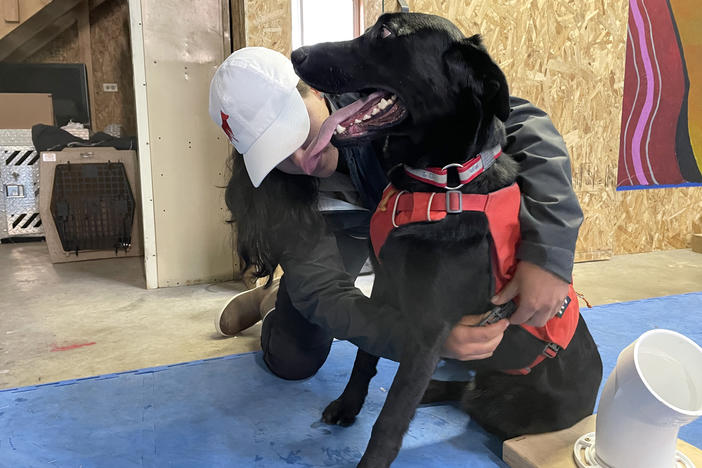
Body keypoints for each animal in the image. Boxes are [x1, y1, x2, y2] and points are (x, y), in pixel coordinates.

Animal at [292, 12, 604, 466]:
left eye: (388, 32)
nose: (296, 54)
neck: (442, 183)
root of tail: (595, 394)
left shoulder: (430, 329)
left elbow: (392, 417)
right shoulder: (384, 289)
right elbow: (364, 359)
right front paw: (349, 405)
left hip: (505, 409)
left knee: (471, 397)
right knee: (463, 389)